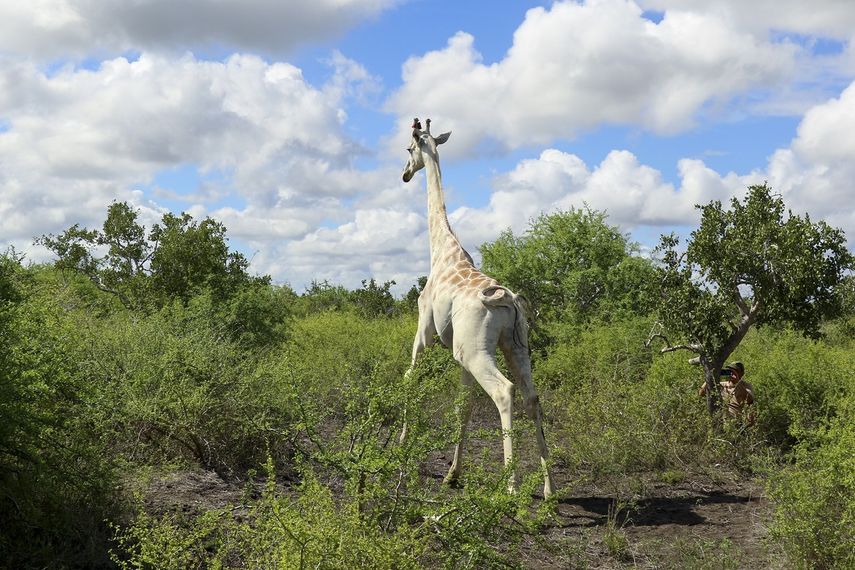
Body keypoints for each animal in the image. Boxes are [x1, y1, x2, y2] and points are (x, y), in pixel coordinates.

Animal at [401, 118, 554, 498]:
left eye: (409, 149)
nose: (405, 174)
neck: (441, 249)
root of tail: (508, 300)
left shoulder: (424, 333)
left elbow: (410, 377)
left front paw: (402, 447)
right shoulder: (458, 355)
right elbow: (463, 406)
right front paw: (452, 474)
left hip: (477, 350)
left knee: (505, 392)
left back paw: (511, 487)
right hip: (513, 345)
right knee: (532, 397)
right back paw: (548, 489)